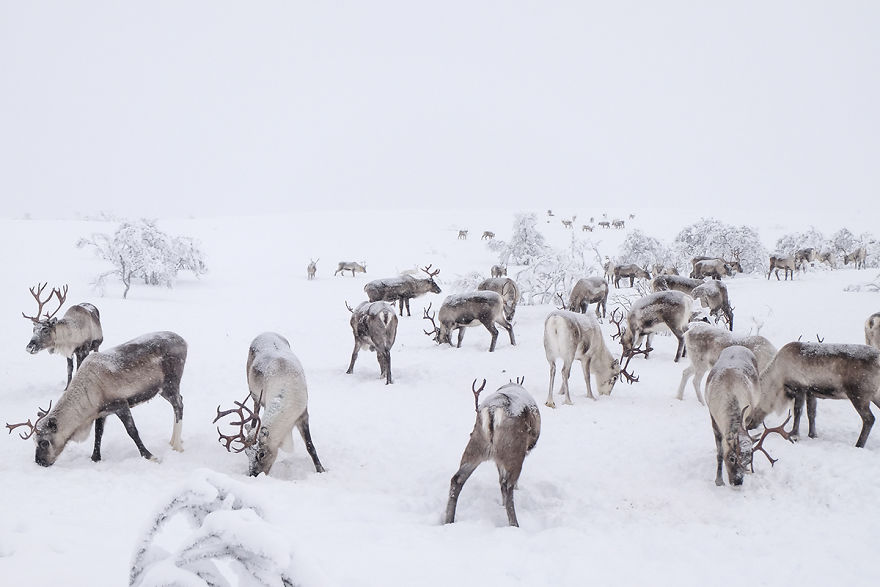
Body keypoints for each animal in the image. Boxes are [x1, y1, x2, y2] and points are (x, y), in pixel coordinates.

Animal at [7, 331, 186, 466]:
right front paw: (95, 458)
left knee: (179, 405)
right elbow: (98, 433)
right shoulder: (102, 411)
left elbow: (132, 432)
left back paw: (177, 446)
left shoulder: (121, 404)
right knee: (180, 401)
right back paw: (173, 441)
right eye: (34, 441)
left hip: (170, 384)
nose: (40, 462)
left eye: (44, 442)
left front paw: (151, 456)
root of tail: (184, 341)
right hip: (162, 390)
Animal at [213, 332, 324, 476]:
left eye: (261, 454)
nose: (253, 474)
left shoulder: (303, 414)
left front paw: (321, 470)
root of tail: (265, 332)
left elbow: (310, 446)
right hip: (253, 393)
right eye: (246, 453)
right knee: (255, 411)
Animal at [444, 379, 541, 527]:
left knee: (457, 479)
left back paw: (448, 520)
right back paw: (514, 524)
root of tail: (492, 410)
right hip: (513, 451)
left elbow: (500, 478)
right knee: (508, 485)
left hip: (476, 445)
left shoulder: (497, 460)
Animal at [706, 346, 793, 486]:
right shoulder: (713, 418)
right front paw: (719, 480)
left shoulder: (747, 416)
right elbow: (719, 453)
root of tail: (738, 346)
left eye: (748, 461)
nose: (738, 482)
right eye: (732, 458)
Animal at [747, 341, 880, 447]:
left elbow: (798, 412)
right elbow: (811, 413)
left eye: (752, 408)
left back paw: (859, 445)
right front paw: (812, 435)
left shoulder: (799, 388)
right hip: (874, 396)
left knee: (869, 419)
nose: (749, 426)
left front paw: (794, 435)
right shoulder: (811, 392)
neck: (778, 378)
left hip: (858, 395)